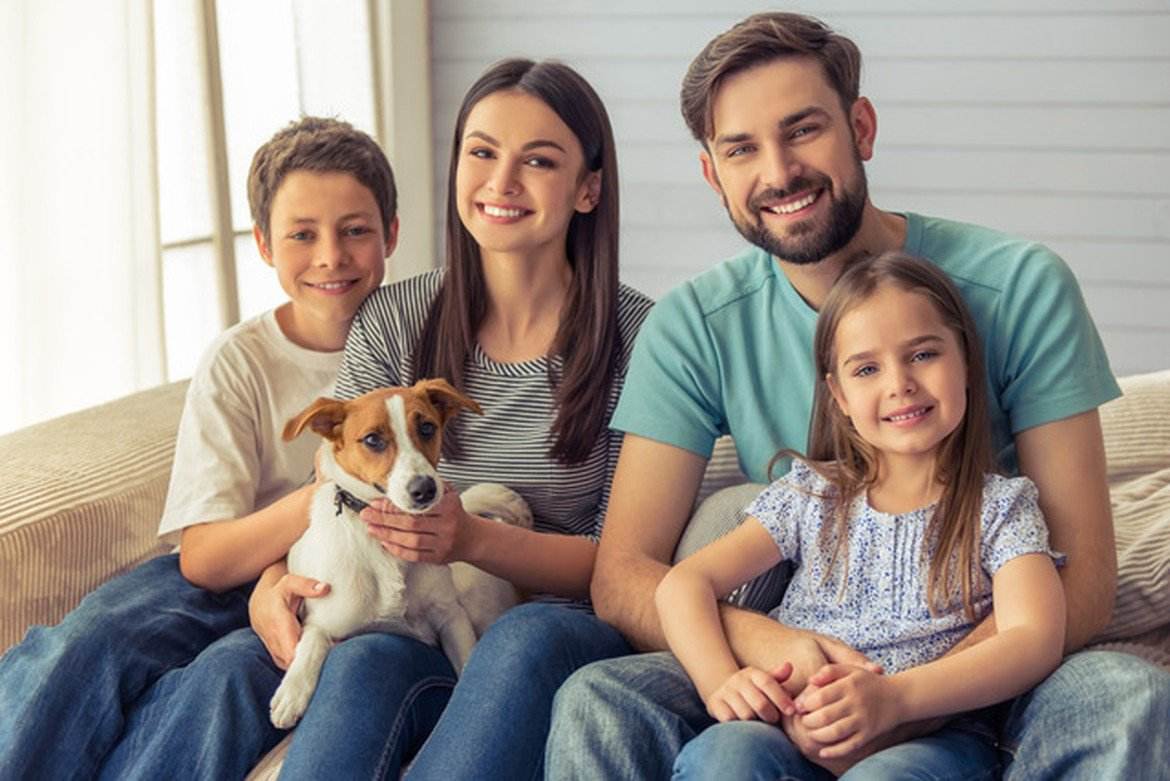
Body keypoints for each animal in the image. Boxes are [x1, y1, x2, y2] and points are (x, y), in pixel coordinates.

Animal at [269, 378, 531, 734]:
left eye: (427, 427)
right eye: (373, 440)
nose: (425, 489)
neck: (385, 549)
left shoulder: (451, 617)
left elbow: (466, 659)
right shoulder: (321, 621)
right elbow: (310, 645)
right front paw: (292, 691)